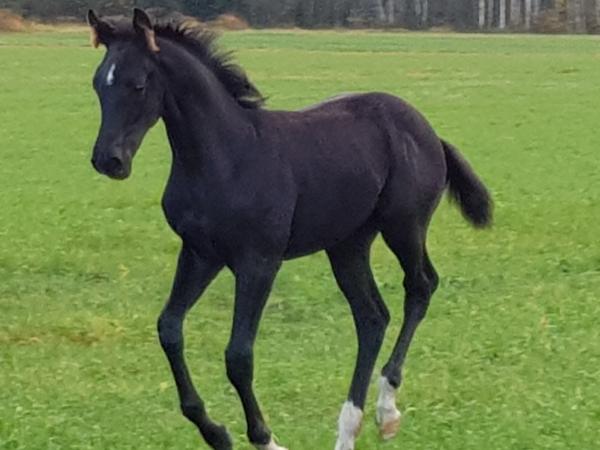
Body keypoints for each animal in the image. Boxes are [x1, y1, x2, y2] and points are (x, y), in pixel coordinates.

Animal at [87, 9, 492, 450]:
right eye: (98, 83)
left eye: (138, 84)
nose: (108, 160)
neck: (226, 156)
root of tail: (428, 131)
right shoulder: (199, 254)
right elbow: (169, 329)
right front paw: (216, 432)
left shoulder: (259, 261)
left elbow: (238, 355)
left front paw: (265, 438)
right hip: (347, 244)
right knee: (371, 316)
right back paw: (348, 428)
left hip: (405, 225)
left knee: (420, 287)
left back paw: (387, 411)